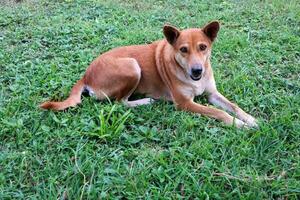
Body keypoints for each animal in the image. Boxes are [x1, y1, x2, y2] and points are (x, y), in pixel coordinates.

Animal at [40, 20, 258, 128]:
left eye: (203, 47)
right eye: (183, 50)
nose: (197, 70)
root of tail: (86, 74)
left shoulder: (212, 94)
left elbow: (233, 106)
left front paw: (250, 119)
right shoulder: (184, 104)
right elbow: (218, 112)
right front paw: (238, 124)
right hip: (132, 66)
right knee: (120, 102)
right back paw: (146, 101)